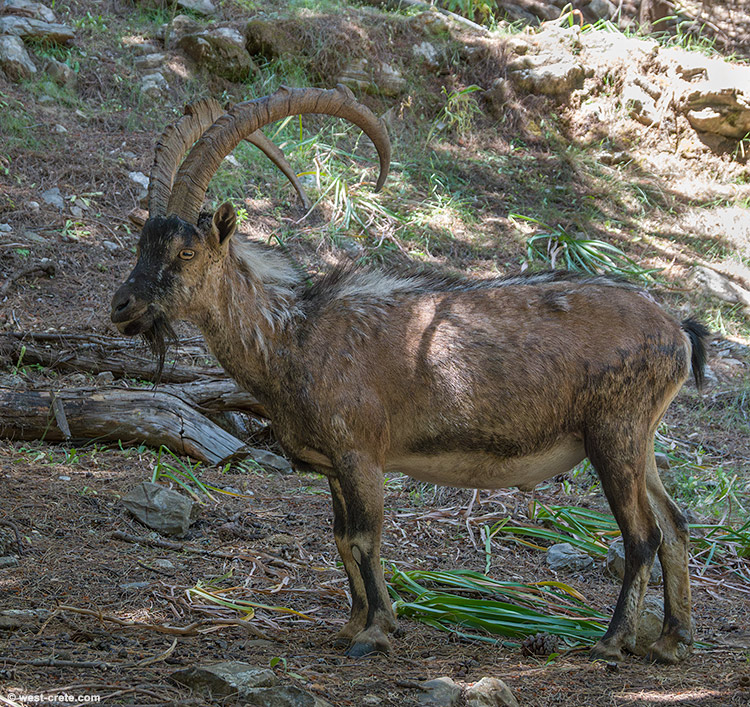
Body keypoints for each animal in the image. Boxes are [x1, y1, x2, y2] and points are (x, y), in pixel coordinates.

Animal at [111, 85, 708, 664]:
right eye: (143, 244)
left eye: (187, 252)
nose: (122, 306)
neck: (291, 336)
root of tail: (677, 332)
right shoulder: (334, 465)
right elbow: (339, 538)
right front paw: (351, 625)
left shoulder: (361, 453)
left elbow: (363, 539)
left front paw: (375, 632)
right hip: (639, 439)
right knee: (675, 523)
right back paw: (670, 641)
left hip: (613, 433)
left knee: (643, 534)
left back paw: (612, 641)